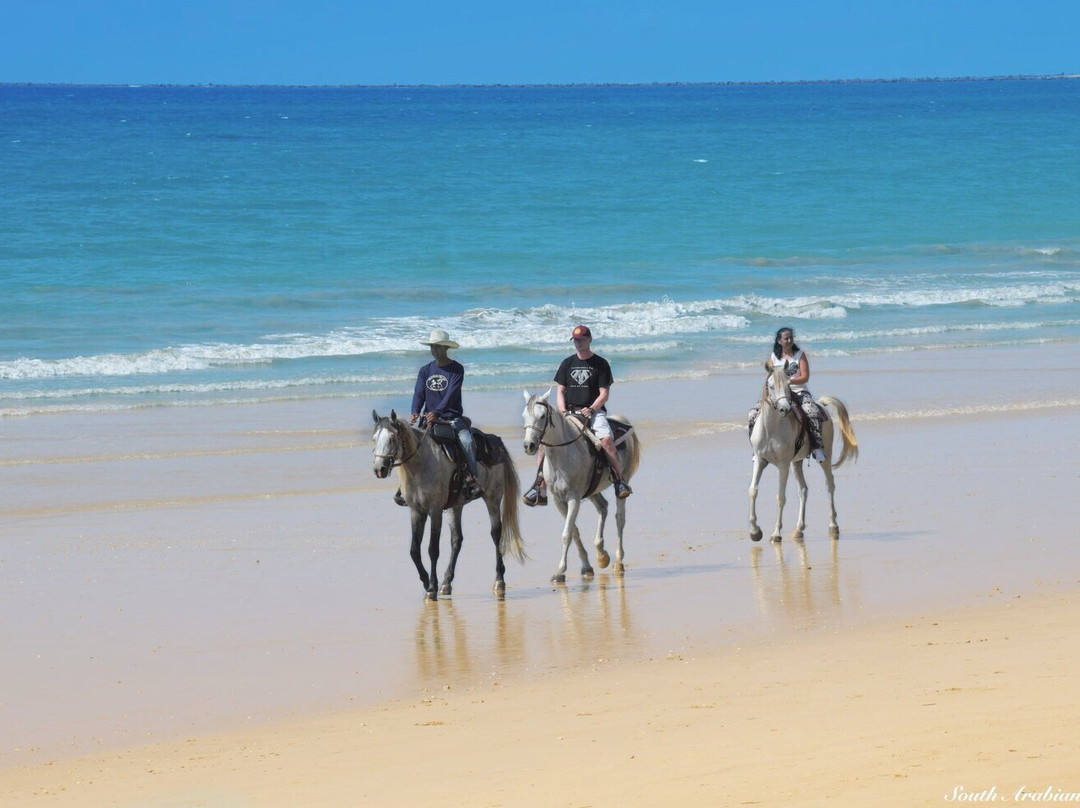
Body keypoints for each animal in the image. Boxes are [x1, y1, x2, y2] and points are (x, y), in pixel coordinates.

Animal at [371, 410, 526, 600]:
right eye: (374, 438)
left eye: (392, 438)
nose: (379, 469)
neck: (420, 464)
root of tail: (496, 442)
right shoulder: (416, 512)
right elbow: (414, 550)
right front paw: (426, 582)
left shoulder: (435, 511)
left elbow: (433, 549)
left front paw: (431, 588)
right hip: (455, 506)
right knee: (456, 540)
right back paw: (446, 582)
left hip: (493, 498)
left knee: (496, 534)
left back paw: (499, 581)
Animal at [521, 390, 642, 583]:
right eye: (524, 415)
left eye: (542, 416)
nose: (529, 445)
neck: (563, 453)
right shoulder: (558, 500)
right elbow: (574, 531)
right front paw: (586, 567)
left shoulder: (574, 498)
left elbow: (566, 534)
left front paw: (559, 571)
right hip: (593, 490)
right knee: (603, 507)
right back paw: (601, 555)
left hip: (624, 481)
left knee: (620, 519)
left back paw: (618, 562)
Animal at [748, 364, 858, 543]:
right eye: (771, 386)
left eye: (788, 385)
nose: (784, 409)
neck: (771, 429)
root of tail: (821, 404)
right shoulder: (760, 460)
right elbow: (753, 491)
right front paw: (755, 531)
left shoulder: (783, 465)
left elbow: (781, 497)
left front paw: (776, 533)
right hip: (796, 462)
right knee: (803, 490)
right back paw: (799, 529)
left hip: (824, 457)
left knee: (830, 484)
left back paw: (833, 526)